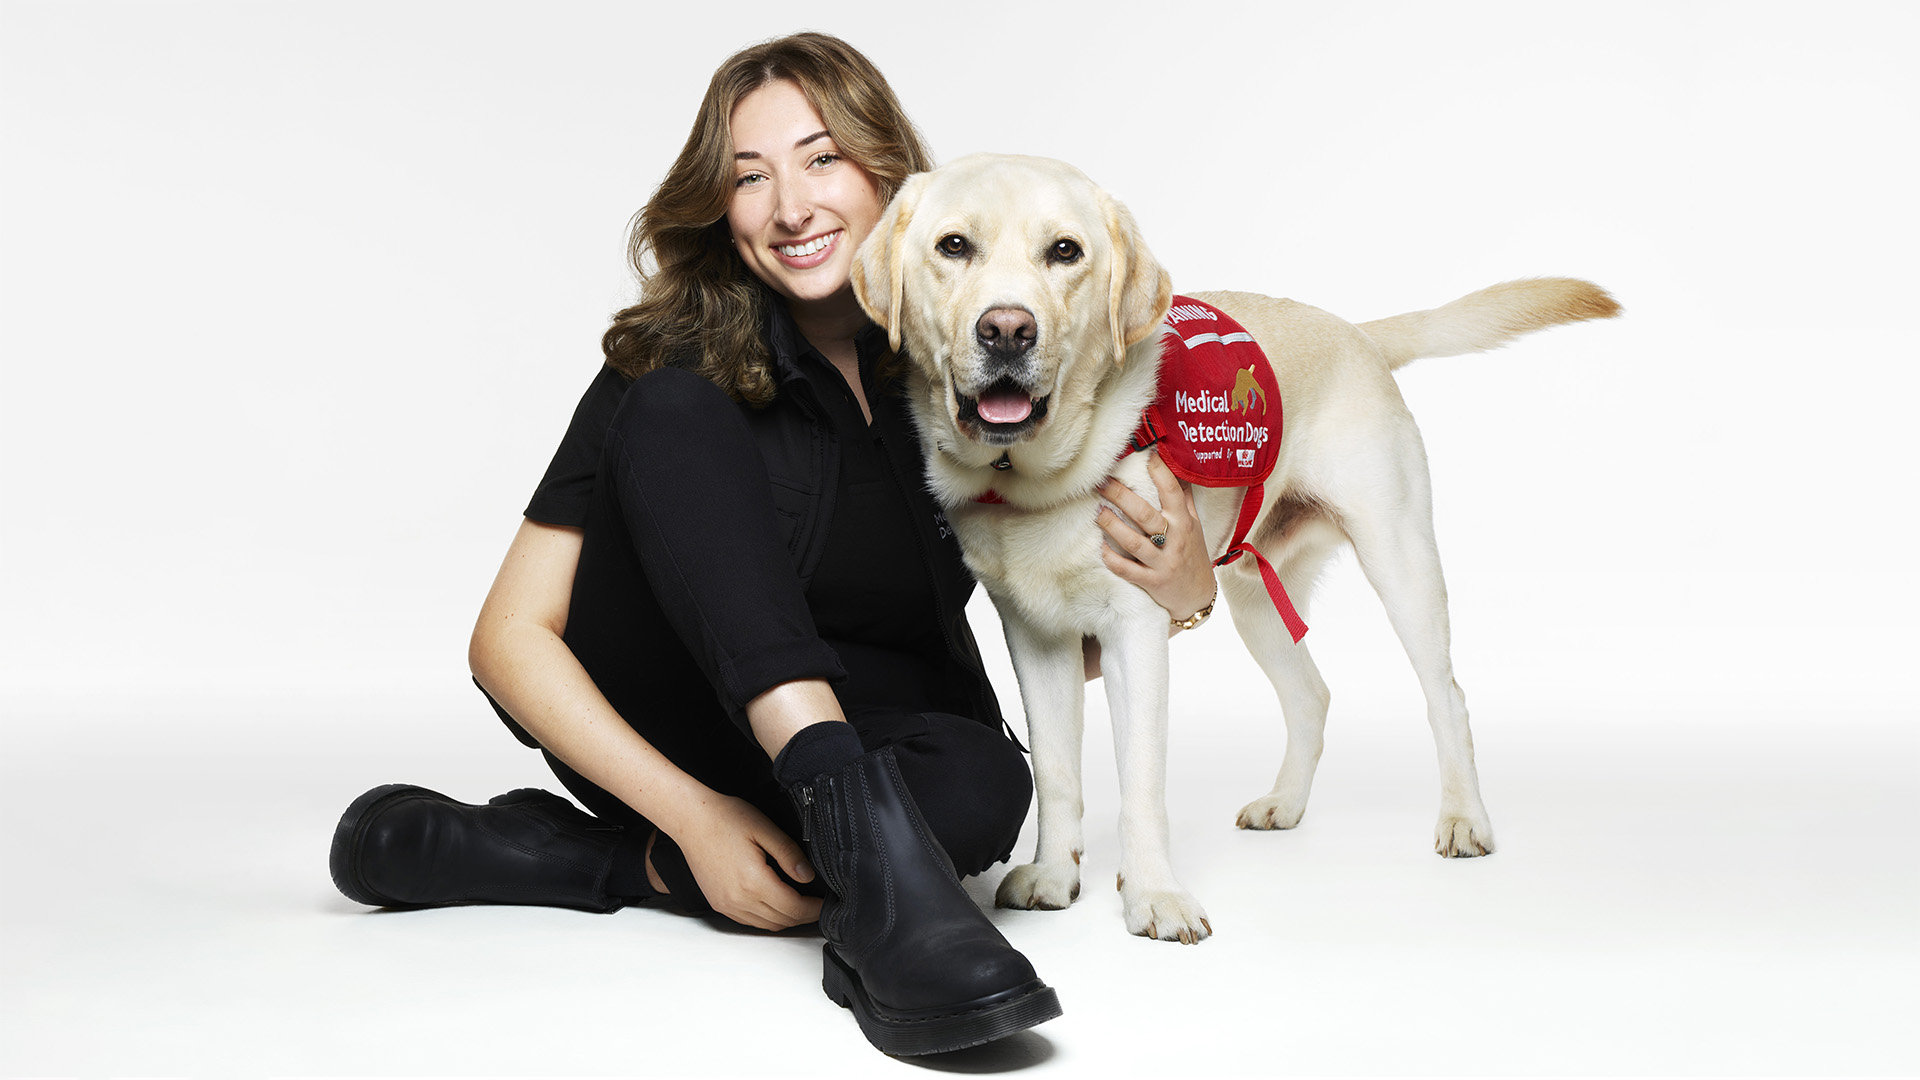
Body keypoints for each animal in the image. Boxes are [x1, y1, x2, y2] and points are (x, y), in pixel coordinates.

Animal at [848, 155, 1612, 937]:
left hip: (1400, 560)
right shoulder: (1036, 638)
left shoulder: (1136, 629)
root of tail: (1357, 331)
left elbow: (1140, 779)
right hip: (1255, 600)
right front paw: (1056, 875)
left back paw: (1464, 819)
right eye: (953, 247)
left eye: (1065, 251)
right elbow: (1058, 772)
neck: (1035, 482)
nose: (1007, 330)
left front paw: (1153, 895)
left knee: (1447, 696)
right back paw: (1287, 803)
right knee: (1312, 695)